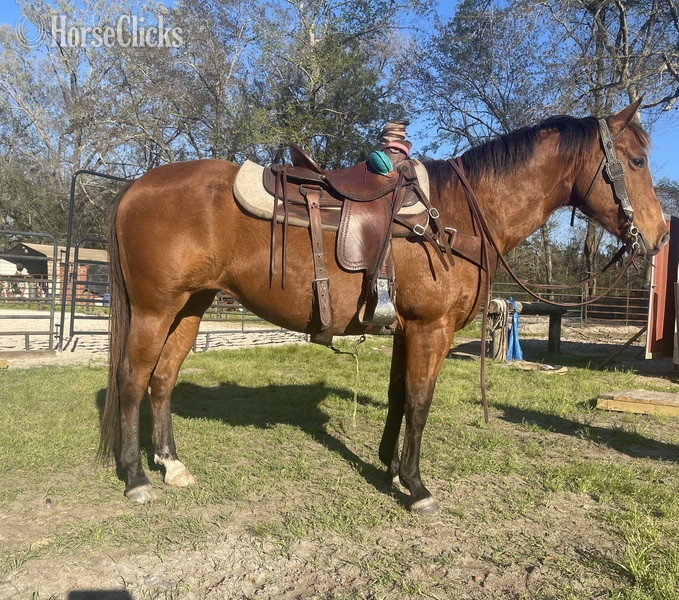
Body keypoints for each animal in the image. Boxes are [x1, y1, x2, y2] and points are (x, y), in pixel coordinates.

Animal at [99, 100, 668, 515]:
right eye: (636, 161)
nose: (661, 236)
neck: (456, 216)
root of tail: (135, 186)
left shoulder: (405, 329)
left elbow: (398, 397)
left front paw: (389, 468)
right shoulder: (430, 330)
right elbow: (420, 402)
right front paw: (417, 486)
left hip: (190, 308)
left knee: (162, 380)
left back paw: (172, 466)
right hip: (154, 309)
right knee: (132, 379)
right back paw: (136, 477)